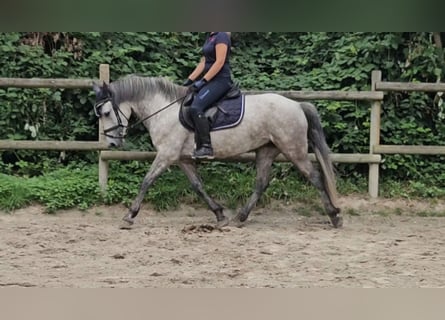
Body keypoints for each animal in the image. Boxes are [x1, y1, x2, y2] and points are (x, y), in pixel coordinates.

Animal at [92, 76, 342, 229]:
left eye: (106, 112)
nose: (112, 144)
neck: (163, 110)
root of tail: (297, 105)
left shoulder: (166, 155)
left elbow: (146, 181)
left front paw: (129, 215)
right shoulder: (182, 159)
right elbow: (198, 186)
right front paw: (220, 214)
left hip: (293, 149)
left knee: (315, 177)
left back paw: (334, 215)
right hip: (266, 150)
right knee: (261, 183)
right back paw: (240, 217)